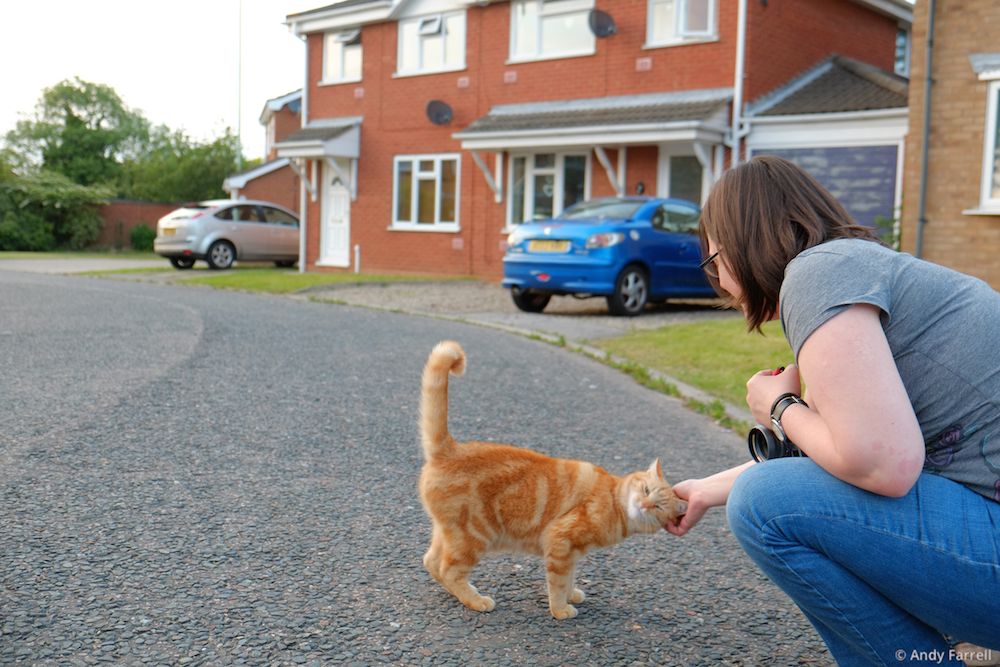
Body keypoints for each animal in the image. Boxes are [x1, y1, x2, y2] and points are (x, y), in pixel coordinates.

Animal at [416, 344, 688, 620]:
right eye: (646, 489)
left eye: (659, 507)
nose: (644, 504)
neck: (615, 503)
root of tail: (449, 450)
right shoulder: (560, 543)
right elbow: (557, 584)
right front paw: (560, 609)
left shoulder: (573, 552)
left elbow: (569, 578)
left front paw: (572, 595)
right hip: (473, 537)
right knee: (449, 570)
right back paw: (476, 600)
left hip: (449, 533)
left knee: (432, 562)